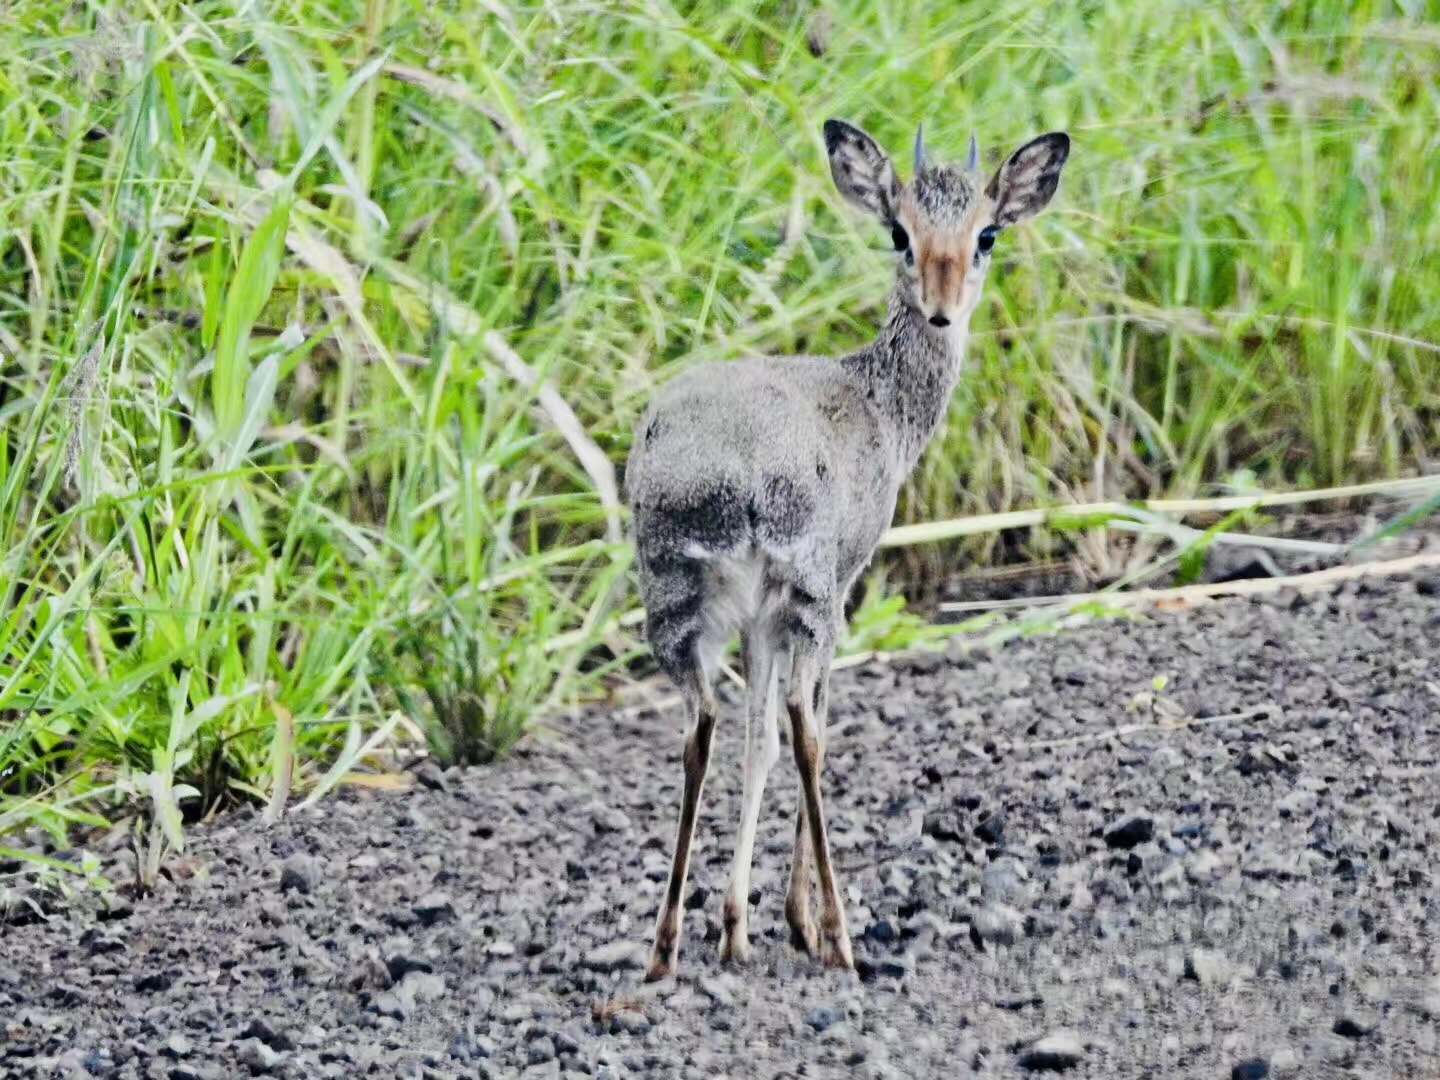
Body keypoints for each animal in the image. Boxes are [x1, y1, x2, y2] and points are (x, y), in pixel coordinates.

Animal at [630, 118, 1071, 979]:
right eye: (900, 231)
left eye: (987, 234)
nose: (941, 309)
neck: (880, 403)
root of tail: (730, 473)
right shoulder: (841, 581)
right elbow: (799, 735)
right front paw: (792, 921)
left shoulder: (757, 620)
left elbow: (756, 745)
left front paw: (734, 924)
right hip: (811, 597)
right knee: (809, 726)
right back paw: (836, 934)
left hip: (674, 606)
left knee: (704, 727)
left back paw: (664, 946)